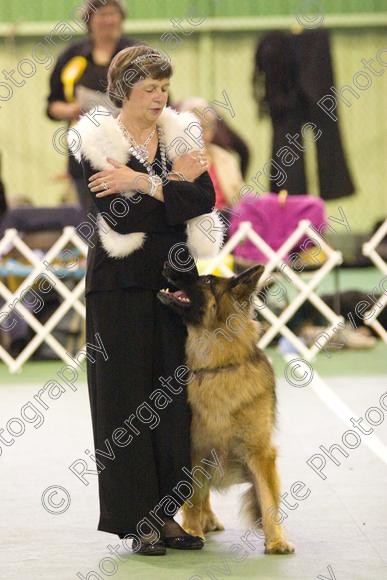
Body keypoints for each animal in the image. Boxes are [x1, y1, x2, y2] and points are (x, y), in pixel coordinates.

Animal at [159, 262, 296, 552]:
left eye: (207, 280)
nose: (167, 264)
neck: (218, 366)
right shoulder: (195, 450)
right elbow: (194, 498)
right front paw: (191, 530)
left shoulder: (260, 453)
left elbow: (268, 500)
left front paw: (277, 540)